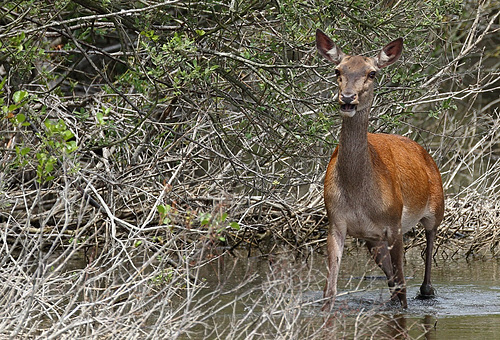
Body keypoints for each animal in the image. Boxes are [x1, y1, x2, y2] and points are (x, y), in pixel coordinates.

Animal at [316, 29, 446, 310]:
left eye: (372, 72)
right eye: (337, 70)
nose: (347, 98)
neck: (359, 196)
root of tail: (424, 151)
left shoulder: (394, 224)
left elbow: (404, 287)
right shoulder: (336, 222)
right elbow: (329, 292)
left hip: (436, 206)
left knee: (426, 251)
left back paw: (427, 290)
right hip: (373, 239)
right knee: (391, 280)